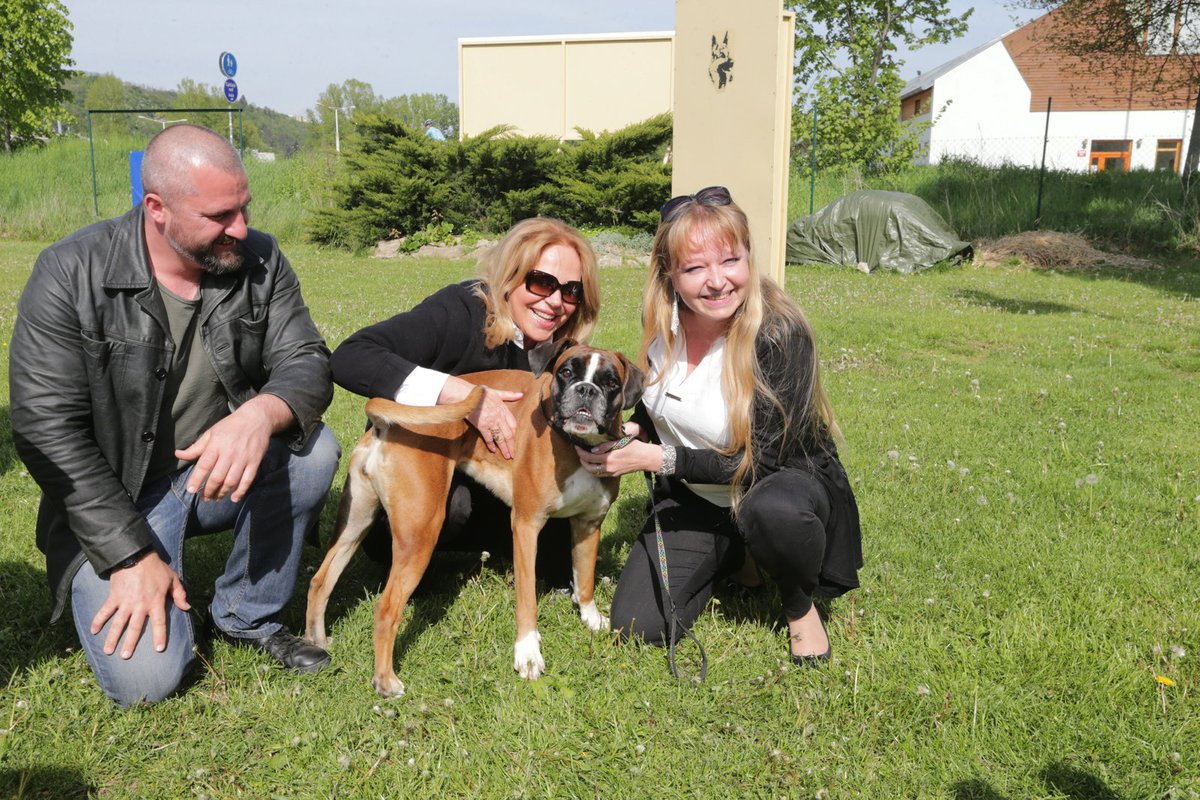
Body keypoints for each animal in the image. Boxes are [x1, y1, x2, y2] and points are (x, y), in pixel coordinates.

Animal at [312, 340, 648, 695]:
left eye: (611, 382)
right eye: (567, 372)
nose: (586, 389)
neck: (576, 444)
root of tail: (388, 423)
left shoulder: (588, 524)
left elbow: (584, 578)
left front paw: (591, 617)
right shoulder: (526, 527)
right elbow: (527, 599)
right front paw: (528, 654)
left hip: (355, 523)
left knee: (321, 581)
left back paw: (316, 641)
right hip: (420, 531)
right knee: (386, 607)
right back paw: (386, 680)